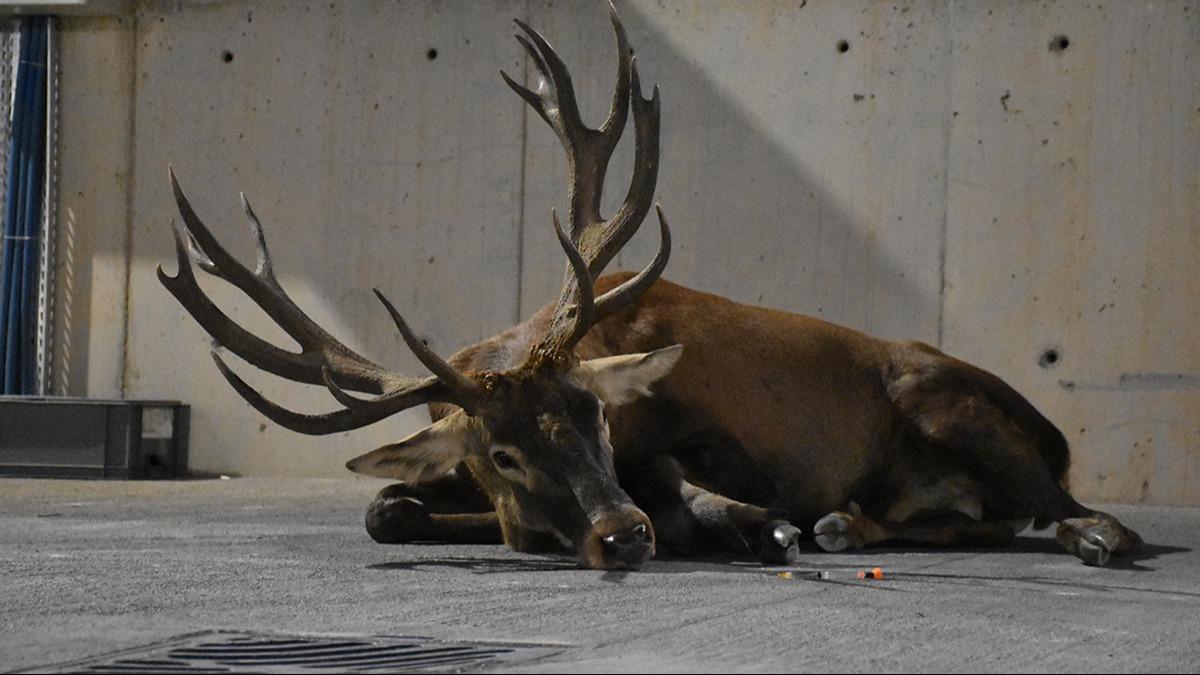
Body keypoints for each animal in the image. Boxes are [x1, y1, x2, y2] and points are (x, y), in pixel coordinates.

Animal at [159, 3, 1142, 566]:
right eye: (501, 452)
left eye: (598, 413)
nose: (620, 531)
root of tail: (1054, 434)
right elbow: (384, 508)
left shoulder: (719, 439)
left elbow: (695, 484)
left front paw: (744, 520)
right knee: (984, 517)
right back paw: (847, 524)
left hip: (949, 405)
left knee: (1073, 509)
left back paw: (1085, 532)